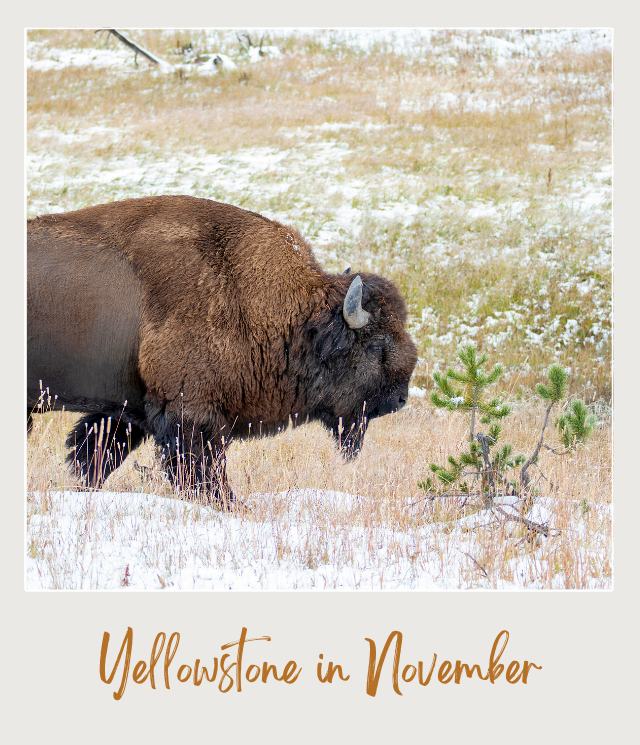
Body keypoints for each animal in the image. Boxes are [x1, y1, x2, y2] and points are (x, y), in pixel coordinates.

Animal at [27, 196, 417, 505]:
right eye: (376, 344)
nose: (399, 399)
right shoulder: (191, 414)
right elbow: (203, 471)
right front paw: (231, 505)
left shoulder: (129, 410)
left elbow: (95, 455)